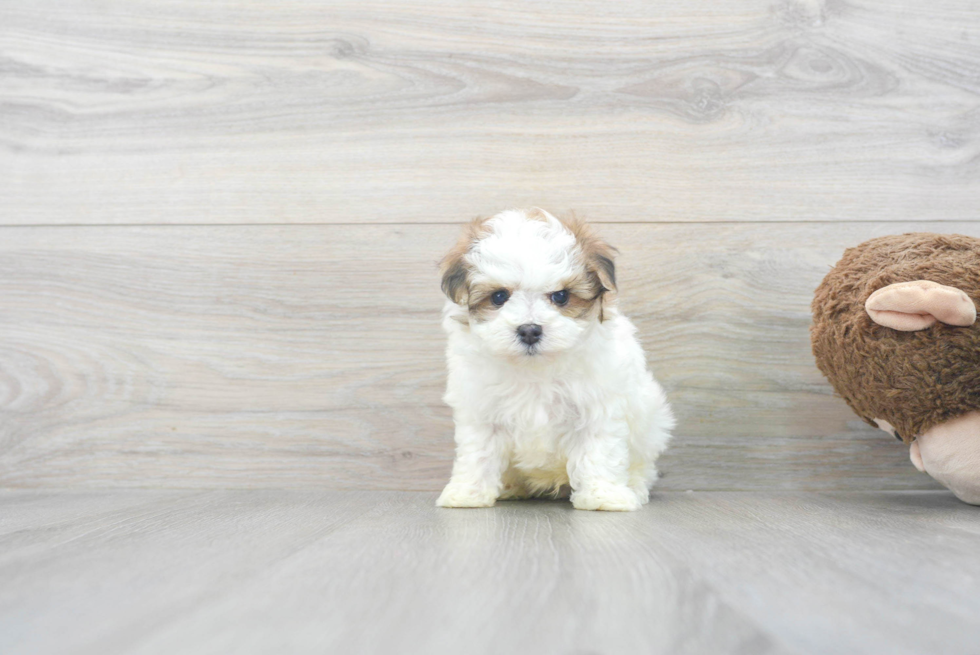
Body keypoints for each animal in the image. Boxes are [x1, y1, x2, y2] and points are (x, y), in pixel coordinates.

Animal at [436, 209, 672, 512]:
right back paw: (510, 488)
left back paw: (635, 487)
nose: (529, 330)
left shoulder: (598, 407)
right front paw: (468, 493)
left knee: (643, 465)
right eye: (499, 296)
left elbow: (598, 452)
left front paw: (603, 496)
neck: (535, 368)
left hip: (651, 422)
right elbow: (478, 453)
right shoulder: (481, 412)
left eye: (561, 296)